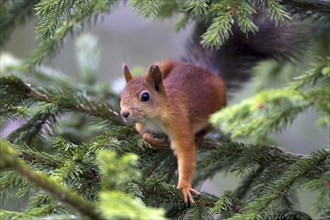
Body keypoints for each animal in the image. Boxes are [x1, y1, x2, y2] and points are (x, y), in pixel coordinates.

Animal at [118, 8, 306, 205]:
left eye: (145, 96)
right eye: (121, 96)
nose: (124, 113)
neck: (156, 117)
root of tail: (207, 72)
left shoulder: (179, 123)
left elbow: (186, 152)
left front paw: (184, 186)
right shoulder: (142, 123)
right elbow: (142, 132)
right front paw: (152, 140)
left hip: (218, 106)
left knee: (209, 125)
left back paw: (200, 135)